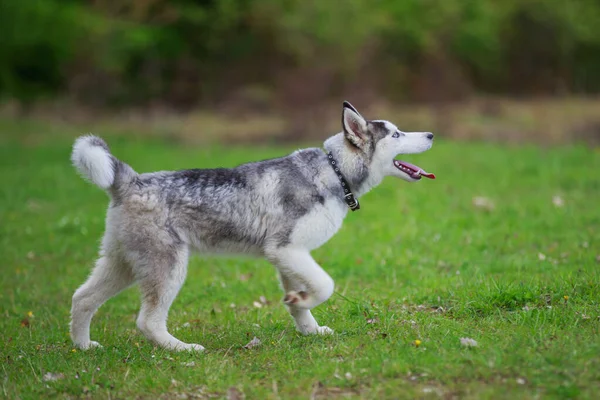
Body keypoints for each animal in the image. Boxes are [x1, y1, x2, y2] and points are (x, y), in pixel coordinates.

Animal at [69, 101, 436, 352]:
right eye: (397, 134)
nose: (432, 134)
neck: (334, 172)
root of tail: (130, 180)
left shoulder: (289, 256)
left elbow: (303, 299)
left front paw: (306, 321)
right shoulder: (286, 248)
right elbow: (326, 285)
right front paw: (305, 303)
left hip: (123, 263)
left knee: (82, 298)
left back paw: (84, 348)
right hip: (167, 265)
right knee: (147, 320)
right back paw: (181, 349)